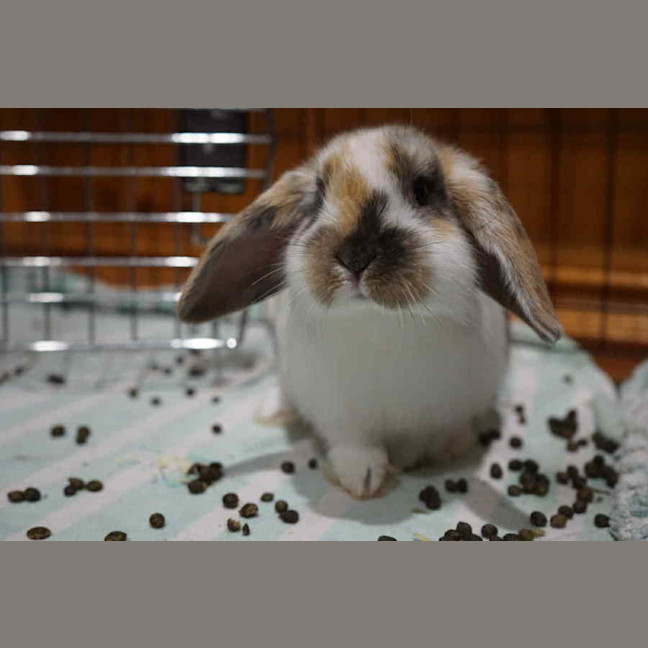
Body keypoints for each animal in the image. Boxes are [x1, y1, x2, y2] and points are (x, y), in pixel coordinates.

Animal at [178, 125, 562, 499]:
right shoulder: (337, 415)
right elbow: (354, 446)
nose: (356, 257)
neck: (380, 324)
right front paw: (362, 478)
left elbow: (430, 436)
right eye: (319, 196)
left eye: (421, 190)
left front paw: (421, 455)